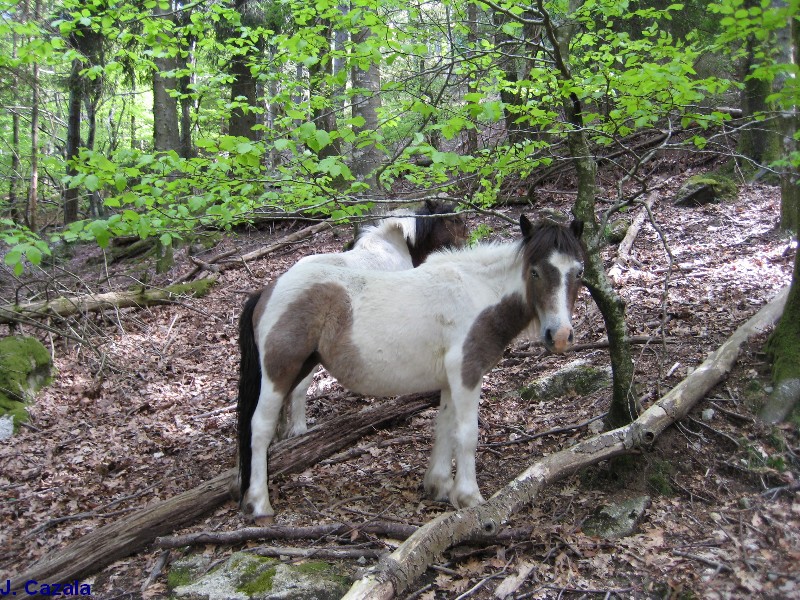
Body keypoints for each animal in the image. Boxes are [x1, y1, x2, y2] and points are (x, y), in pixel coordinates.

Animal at [236, 217, 580, 520]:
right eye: (534, 272)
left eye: (578, 271)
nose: (560, 336)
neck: (479, 294)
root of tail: (267, 292)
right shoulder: (467, 374)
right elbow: (467, 434)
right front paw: (469, 497)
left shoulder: (450, 381)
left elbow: (444, 427)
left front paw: (439, 486)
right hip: (278, 374)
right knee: (260, 430)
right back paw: (260, 504)